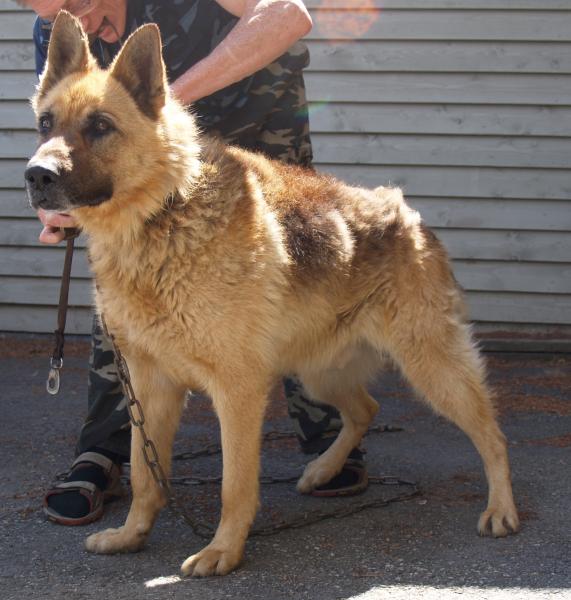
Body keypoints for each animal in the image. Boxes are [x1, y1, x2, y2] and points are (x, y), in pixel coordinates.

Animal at [25, 12, 519, 577]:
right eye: (45, 124)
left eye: (101, 127)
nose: (35, 176)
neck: (162, 213)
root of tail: (406, 214)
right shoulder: (148, 389)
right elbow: (146, 475)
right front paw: (132, 534)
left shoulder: (237, 392)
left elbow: (235, 485)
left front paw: (223, 550)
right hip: (318, 372)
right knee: (365, 409)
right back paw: (324, 470)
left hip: (431, 369)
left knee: (492, 435)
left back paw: (501, 508)